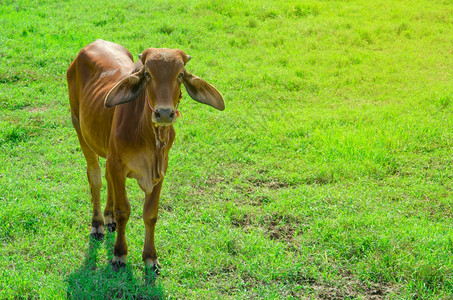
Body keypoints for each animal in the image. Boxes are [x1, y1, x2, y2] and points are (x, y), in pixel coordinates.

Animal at [66, 39, 223, 274]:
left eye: (180, 74)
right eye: (148, 74)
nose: (164, 113)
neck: (148, 135)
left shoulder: (160, 168)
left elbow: (150, 214)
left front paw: (150, 257)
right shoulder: (118, 163)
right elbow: (123, 210)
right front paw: (119, 254)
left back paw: (108, 217)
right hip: (79, 127)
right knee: (95, 177)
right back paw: (99, 223)